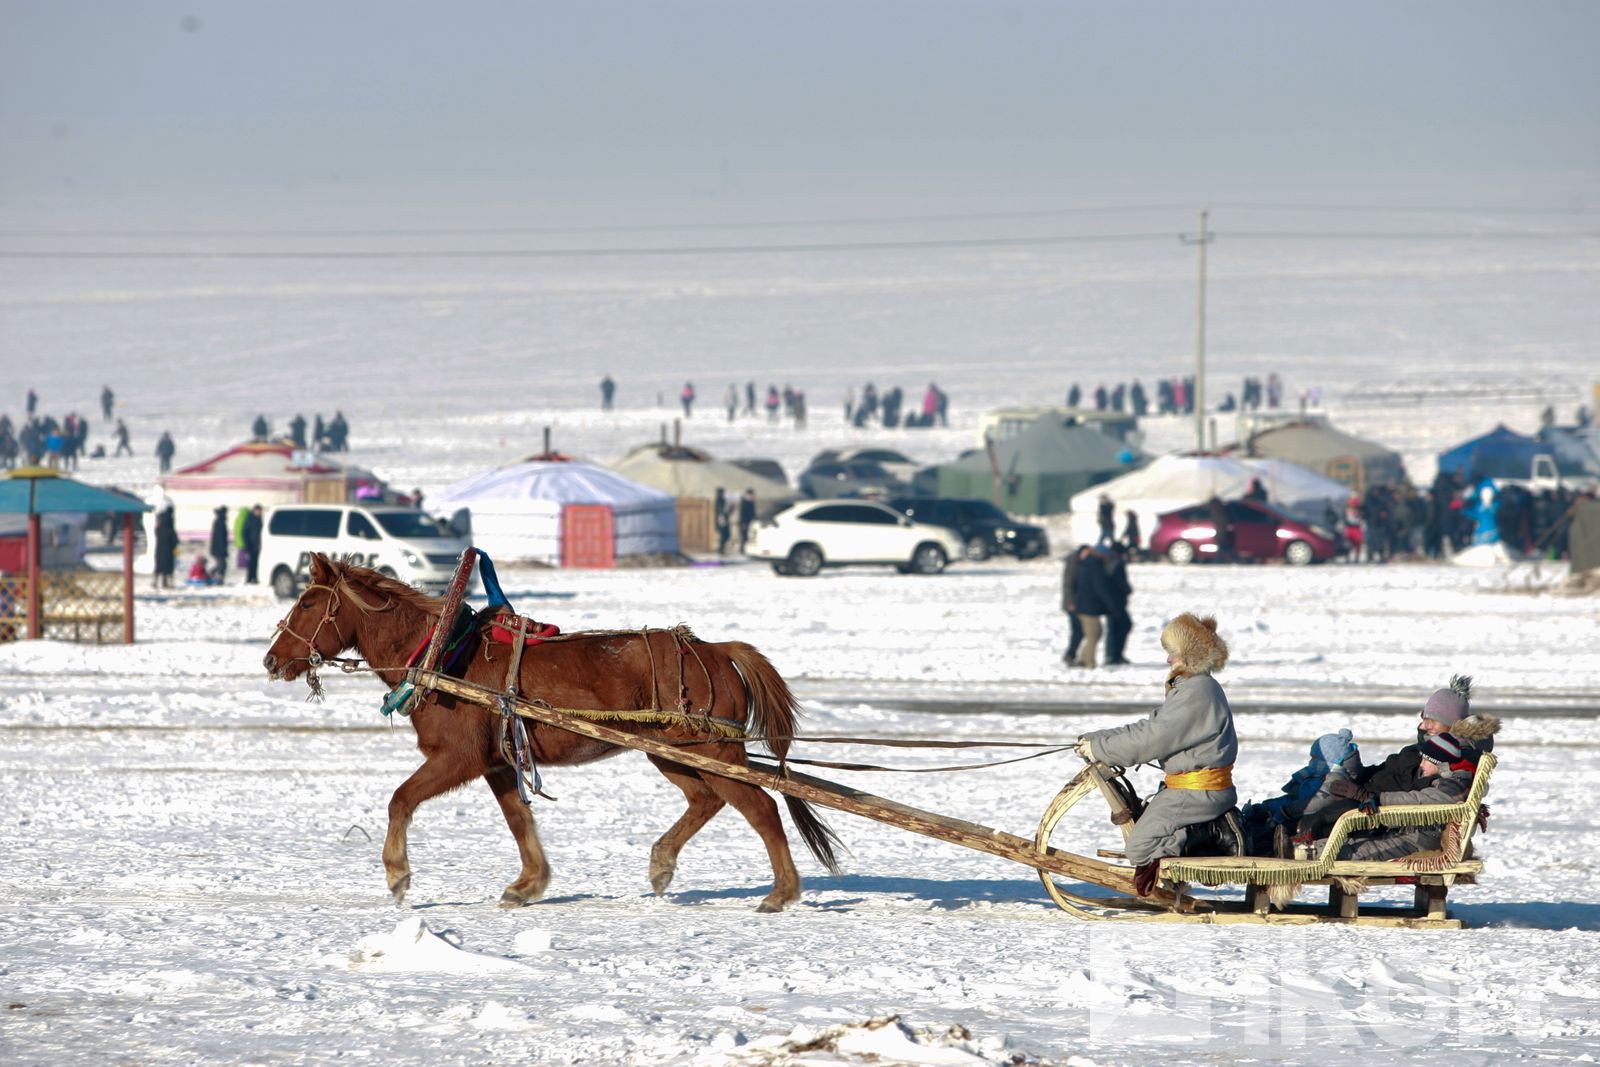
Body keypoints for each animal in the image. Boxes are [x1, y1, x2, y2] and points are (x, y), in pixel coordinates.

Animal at [265, 556, 838, 915]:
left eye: (309, 605)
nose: (272, 659)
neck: (442, 655)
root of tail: (717, 650)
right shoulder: (498, 763)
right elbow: (519, 822)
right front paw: (527, 884)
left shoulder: (456, 758)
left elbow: (400, 799)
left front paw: (398, 875)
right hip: (675, 754)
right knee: (707, 800)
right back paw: (662, 865)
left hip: (711, 748)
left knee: (761, 807)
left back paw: (781, 892)